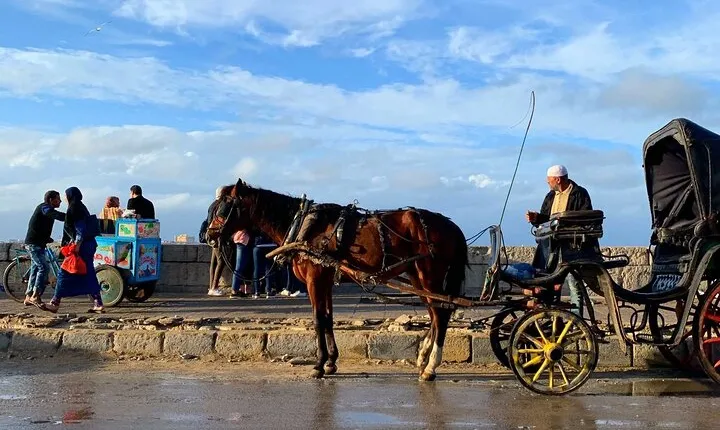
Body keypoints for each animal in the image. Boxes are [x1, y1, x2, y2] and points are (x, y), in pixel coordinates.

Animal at [205, 178, 469, 381]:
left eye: (222, 209)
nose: (208, 236)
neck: (303, 226)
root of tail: (452, 225)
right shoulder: (325, 278)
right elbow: (328, 318)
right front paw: (331, 362)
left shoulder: (314, 277)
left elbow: (318, 319)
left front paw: (319, 365)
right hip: (417, 276)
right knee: (434, 313)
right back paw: (423, 357)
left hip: (430, 273)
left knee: (440, 314)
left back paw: (431, 367)